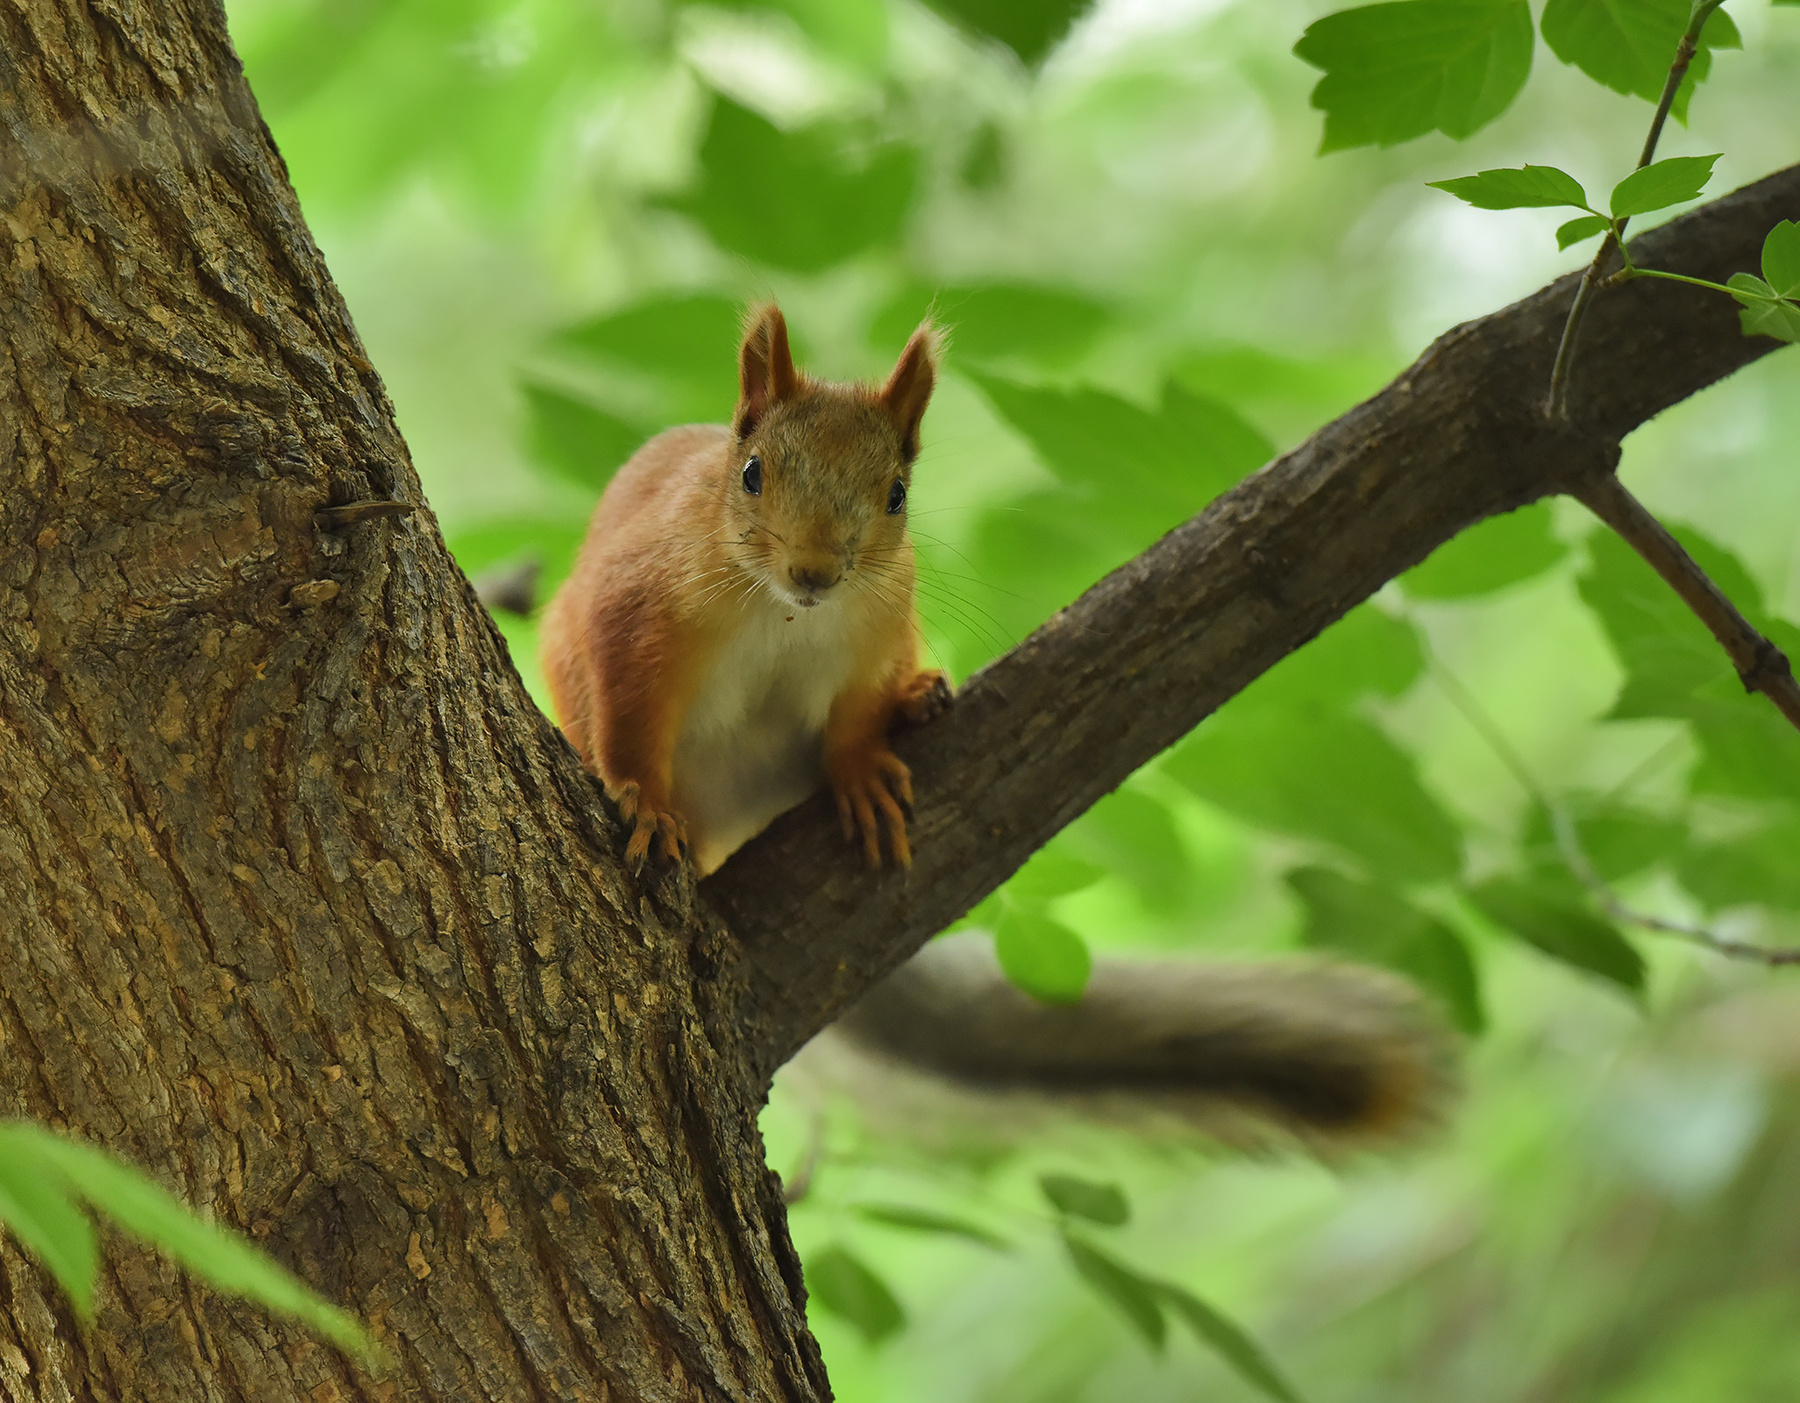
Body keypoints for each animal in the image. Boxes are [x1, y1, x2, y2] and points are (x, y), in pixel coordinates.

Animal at [532, 303, 1456, 1150]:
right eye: (752, 473)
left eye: (897, 494)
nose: (815, 571)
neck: (781, 614)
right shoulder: (634, 614)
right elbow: (628, 714)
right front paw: (644, 800)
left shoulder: (875, 633)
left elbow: (853, 719)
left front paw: (862, 769)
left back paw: (919, 697)